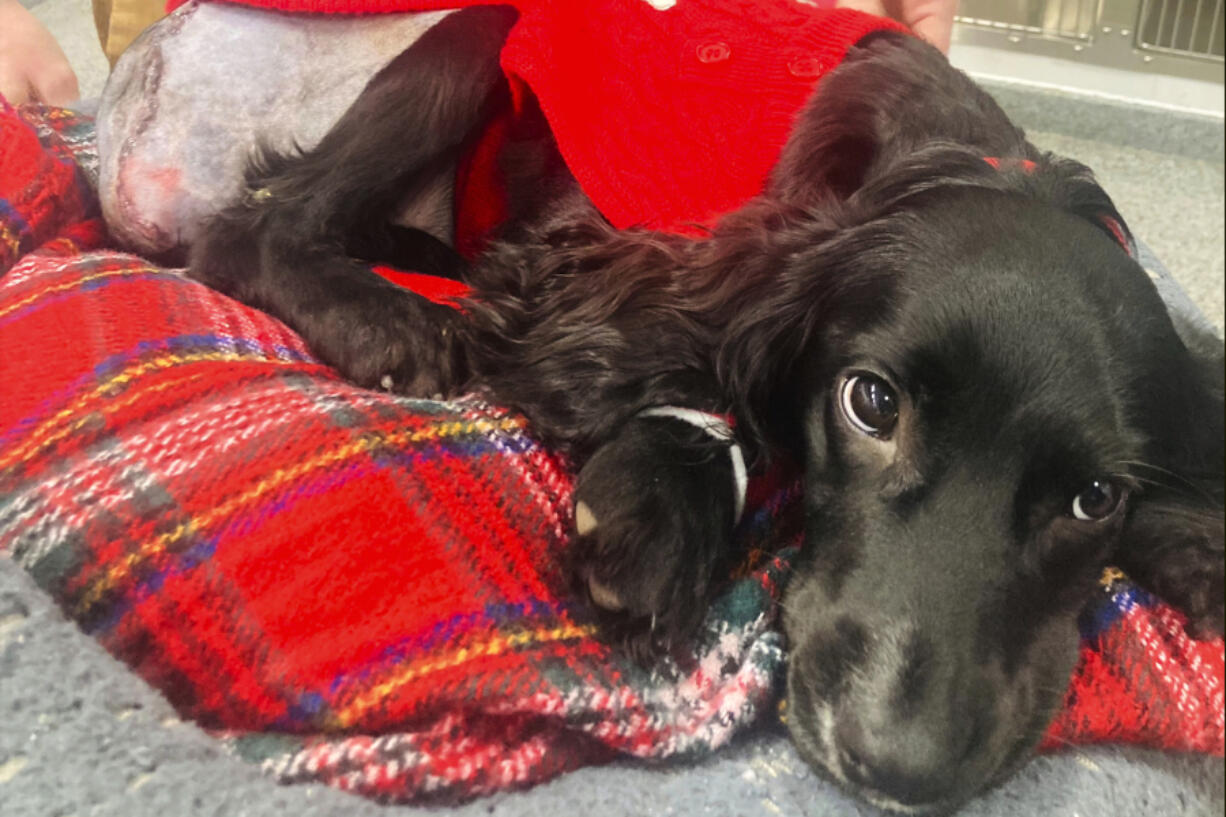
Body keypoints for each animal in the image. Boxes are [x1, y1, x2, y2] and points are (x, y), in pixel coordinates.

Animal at [186, 4, 1221, 809]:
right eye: (870, 403)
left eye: (1095, 498)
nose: (897, 765)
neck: (965, 158)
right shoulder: (603, 258)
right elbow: (692, 359)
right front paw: (663, 510)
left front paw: (1191, 541)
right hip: (472, 46)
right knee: (249, 222)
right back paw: (382, 319)